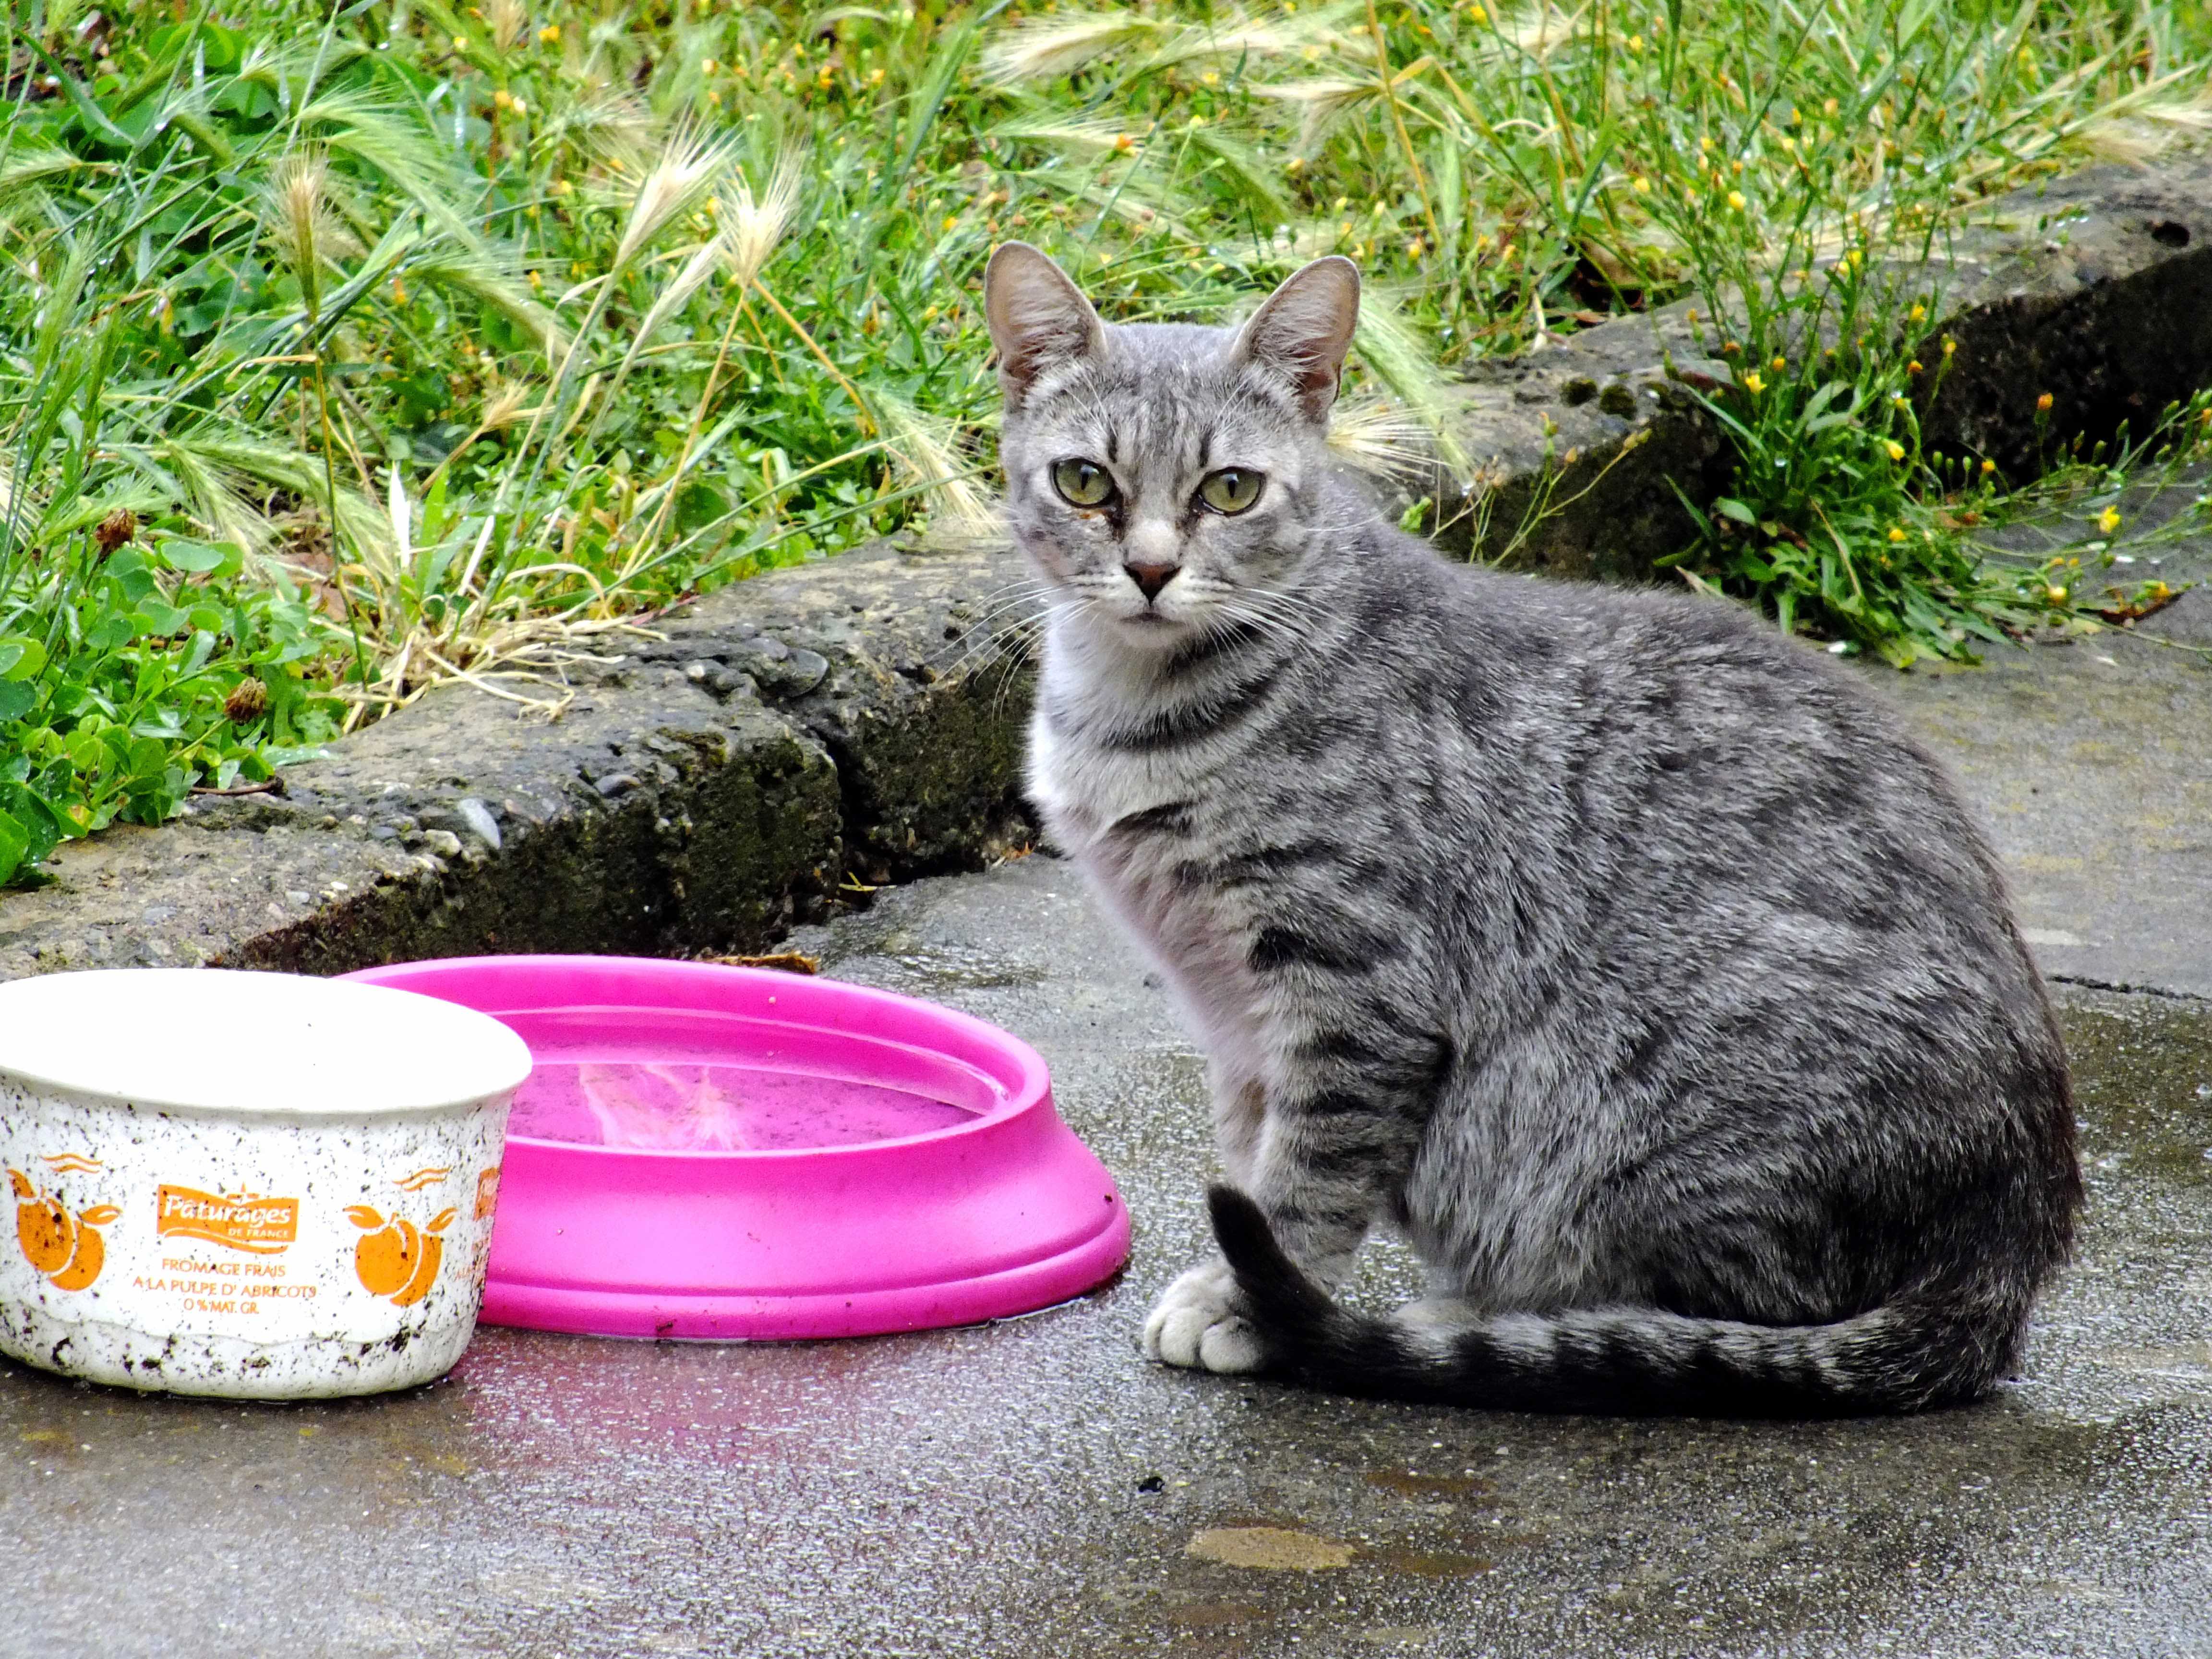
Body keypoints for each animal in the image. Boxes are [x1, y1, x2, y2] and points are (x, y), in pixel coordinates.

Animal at [982, 240, 2070, 1424]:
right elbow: (1255, 1147)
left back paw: (1480, 1320)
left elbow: (1301, 1182)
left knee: (1727, 1315)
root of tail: (2009, 1252)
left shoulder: (1353, 992)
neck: (1137, 711)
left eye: (1230, 489)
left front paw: (1246, 1306)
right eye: (1086, 482)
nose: (1148, 569)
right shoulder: (1234, 1014)